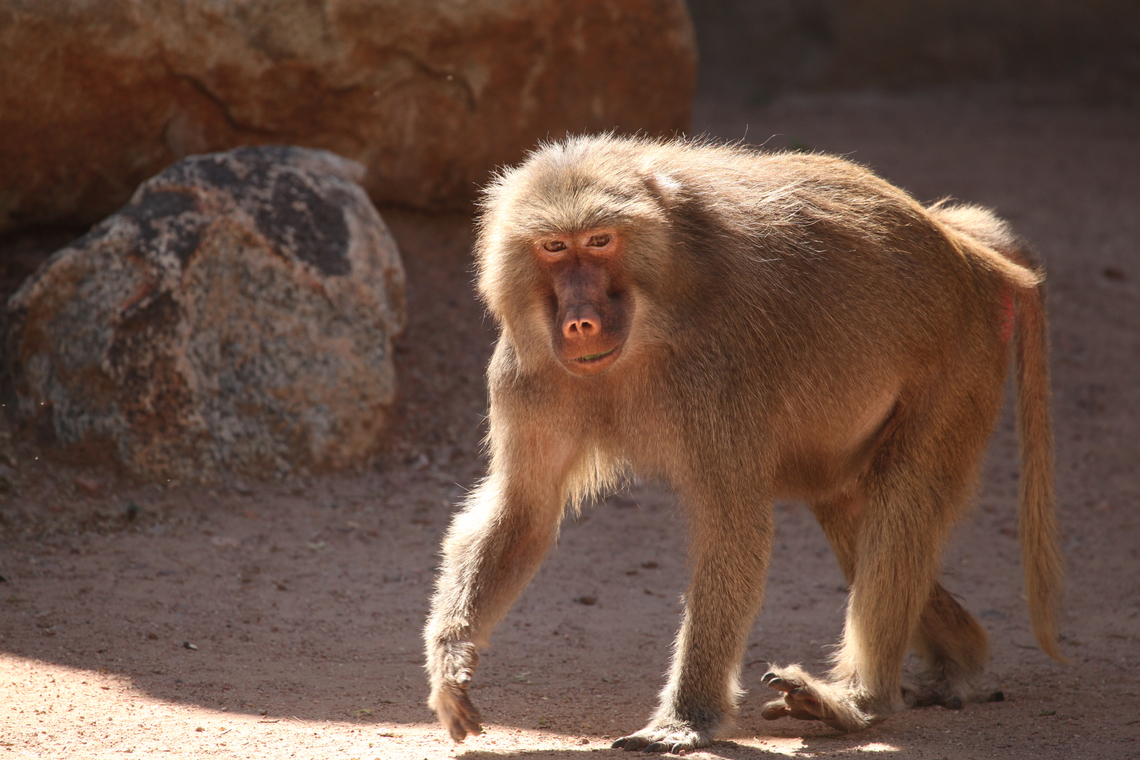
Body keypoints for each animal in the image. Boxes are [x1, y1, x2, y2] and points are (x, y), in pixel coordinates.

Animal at [423, 134, 1063, 753]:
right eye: (554, 247)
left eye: (600, 241)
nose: (581, 321)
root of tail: (964, 253)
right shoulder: (525, 373)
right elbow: (523, 512)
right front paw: (452, 661)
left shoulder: (717, 370)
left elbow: (732, 524)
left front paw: (685, 721)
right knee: (850, 508)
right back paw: (959, 661)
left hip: (961, 359)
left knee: (900, 506)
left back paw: (859, 700)